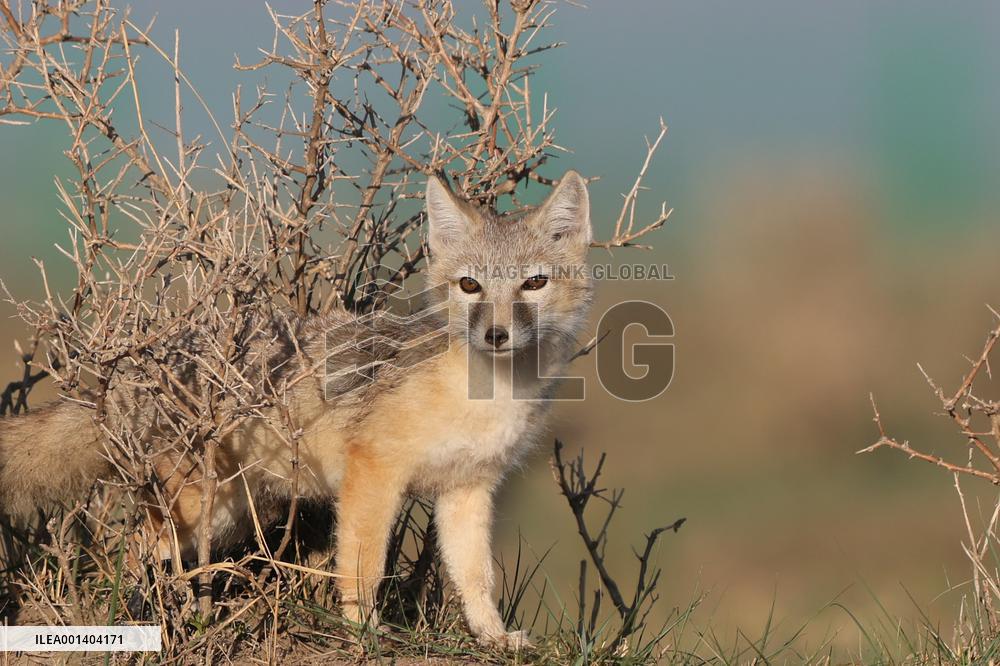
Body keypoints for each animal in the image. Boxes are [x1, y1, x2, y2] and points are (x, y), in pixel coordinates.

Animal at [0, 170, 592, 648]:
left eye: (534, 283)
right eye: (470, 285)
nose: (495, 335)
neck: (489, 396)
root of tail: (148, 371)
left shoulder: (467, 489)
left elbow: (476, 578)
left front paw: (493, 637)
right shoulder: (373, 474)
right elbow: (363, 568)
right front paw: (364, 634)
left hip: (224, 514)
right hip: (192, 514)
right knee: (126, 557)